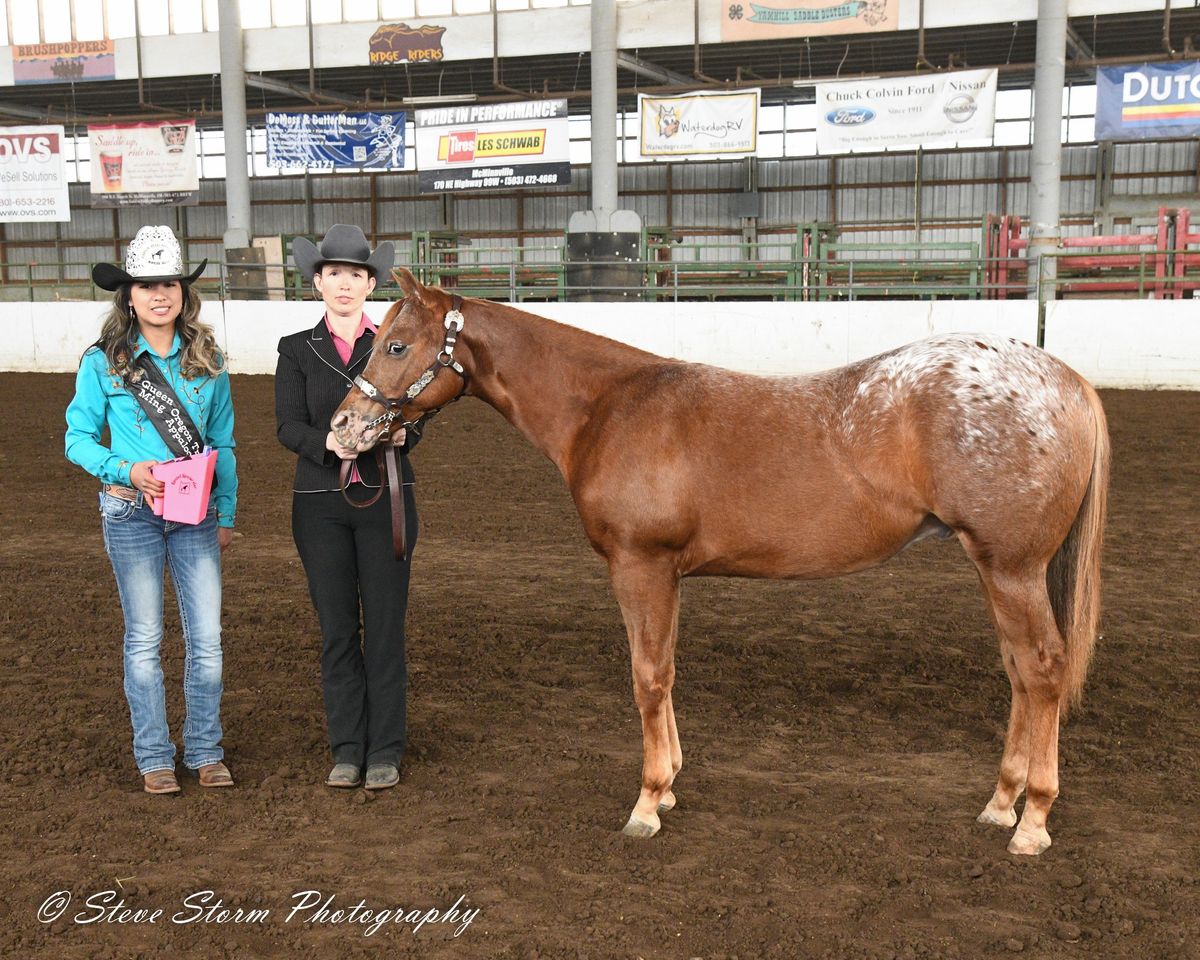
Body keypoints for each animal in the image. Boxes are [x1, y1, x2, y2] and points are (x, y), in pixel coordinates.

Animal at [328, 272, 1104, 854]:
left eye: (395, 344)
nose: (342, 430)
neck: (607, 408)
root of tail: (1064, 380)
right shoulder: (666, 575)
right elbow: (666, 674)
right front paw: (669, 785)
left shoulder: (640, 567)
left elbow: (646, 679)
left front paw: (646, 804)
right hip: (1001, 571)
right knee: (1020, 673)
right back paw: (1002, 802)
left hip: (1011, 568)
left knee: (1041, 670)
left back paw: (1032, 820)